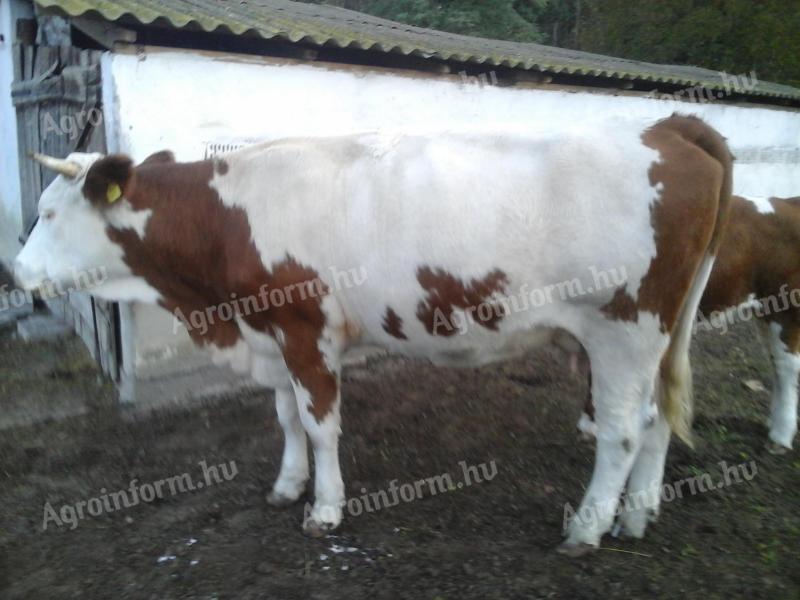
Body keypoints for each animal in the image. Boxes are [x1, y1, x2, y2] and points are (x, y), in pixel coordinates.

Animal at [15, 115, 736, 556]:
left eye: (48, 213)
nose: (14, 272)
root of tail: (667, 126)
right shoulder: (272, 334)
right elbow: (286, 418)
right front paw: (288, 485)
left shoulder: (304, 329)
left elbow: (320, 424)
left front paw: (325, 509)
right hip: (659, 334)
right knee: (656, 418)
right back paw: (638, 513)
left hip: (624, 328)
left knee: (621, 431)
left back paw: (588, 527)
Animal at [580, 195, 800, 452]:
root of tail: (786, 202)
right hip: (766, 311)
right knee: (776, 364)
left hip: (786, 310)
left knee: (787, 367)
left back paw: (781, 436)